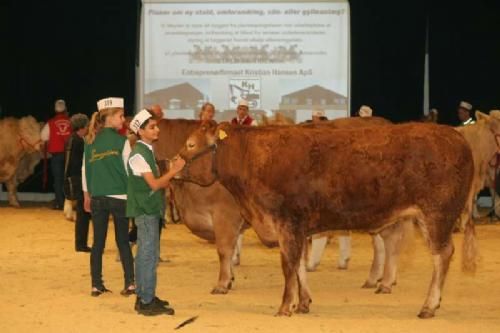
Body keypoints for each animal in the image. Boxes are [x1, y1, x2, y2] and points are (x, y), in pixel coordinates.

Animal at [179, 121, 472, 316]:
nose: (174, 163)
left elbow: (288, 265)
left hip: (437, 214)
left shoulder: (287, 221)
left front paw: (285, 306)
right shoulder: (297, 228)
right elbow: (298, 264)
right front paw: (302, 302)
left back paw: (429, 305)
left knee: (442, 255)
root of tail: (455, 136)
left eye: (191, 144)